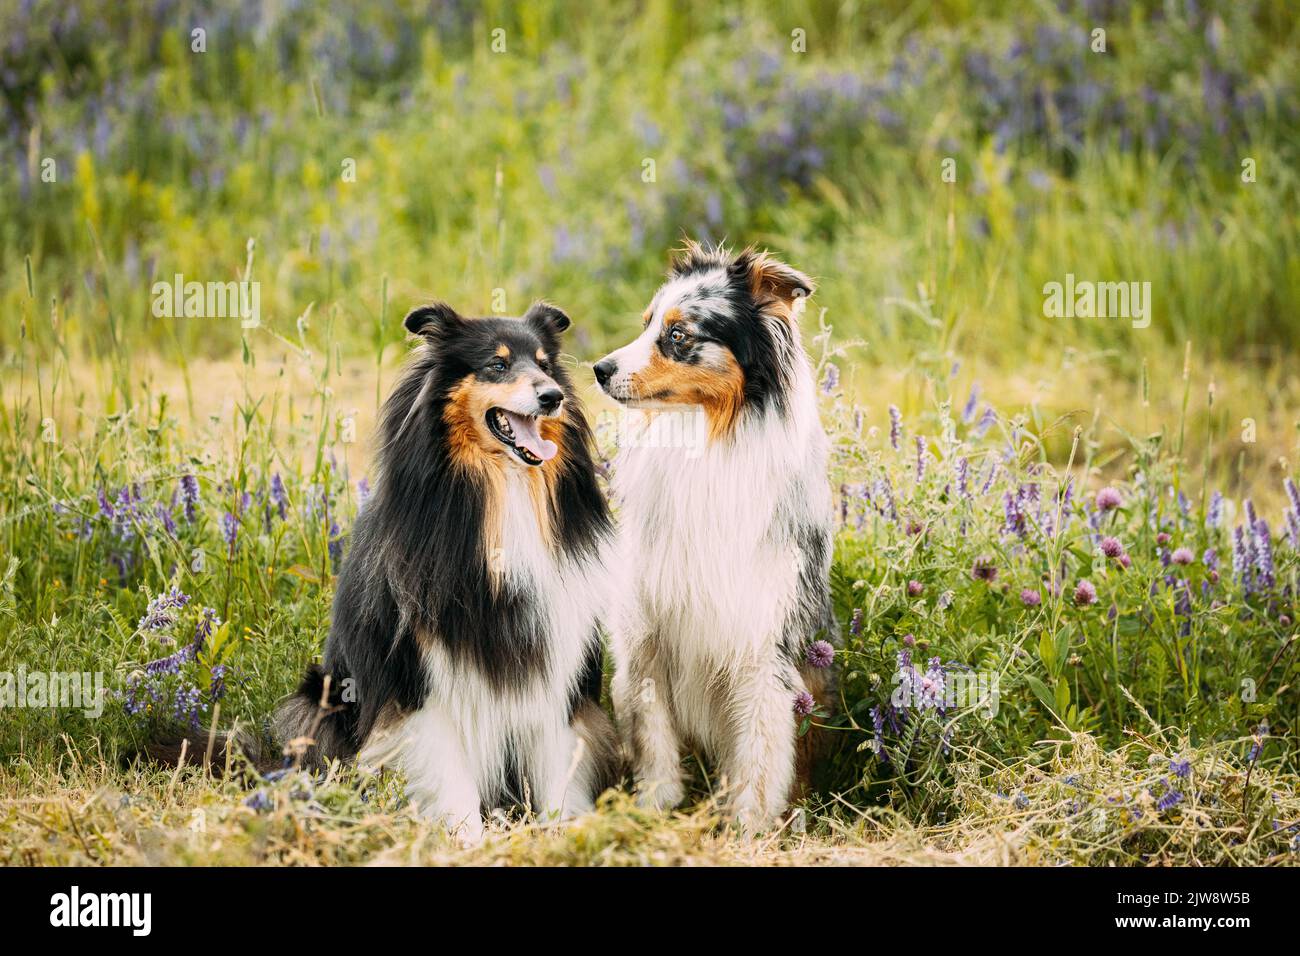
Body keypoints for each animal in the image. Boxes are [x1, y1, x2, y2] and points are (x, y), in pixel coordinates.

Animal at [276, 300, 621, 842]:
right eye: (497, 365)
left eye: (545, 364)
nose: (553, 396)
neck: (503, 489)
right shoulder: (425, 686)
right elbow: (451, 778)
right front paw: (468, 842)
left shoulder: (555, 668)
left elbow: (558, 772)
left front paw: (562, 833)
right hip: (318, 702)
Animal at [592, 244, 832, 832]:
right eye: (646, 323)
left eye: (679, 335)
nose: (599, 370)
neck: (701, 439)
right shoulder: (643, 635)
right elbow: (652, 735)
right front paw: (653, 809)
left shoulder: (761, 641)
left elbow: (759, 753)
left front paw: (749, 826)